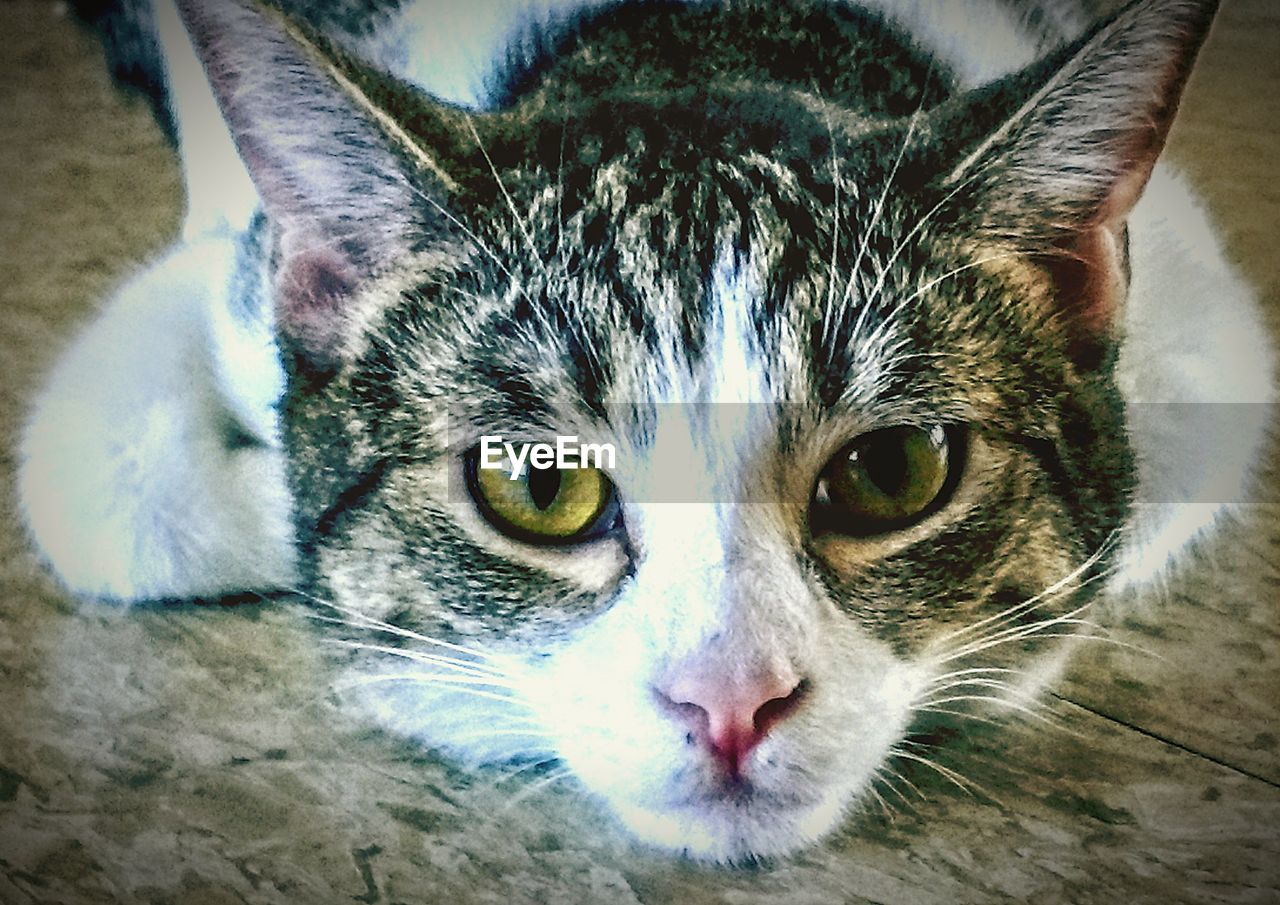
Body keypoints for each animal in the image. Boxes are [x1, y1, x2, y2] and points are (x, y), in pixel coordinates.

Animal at [17, 0, 1269, 865]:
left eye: (892, 469)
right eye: (536, 481)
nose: (729, 701)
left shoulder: (1207, 354)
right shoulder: (217, 286)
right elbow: (102, 492)